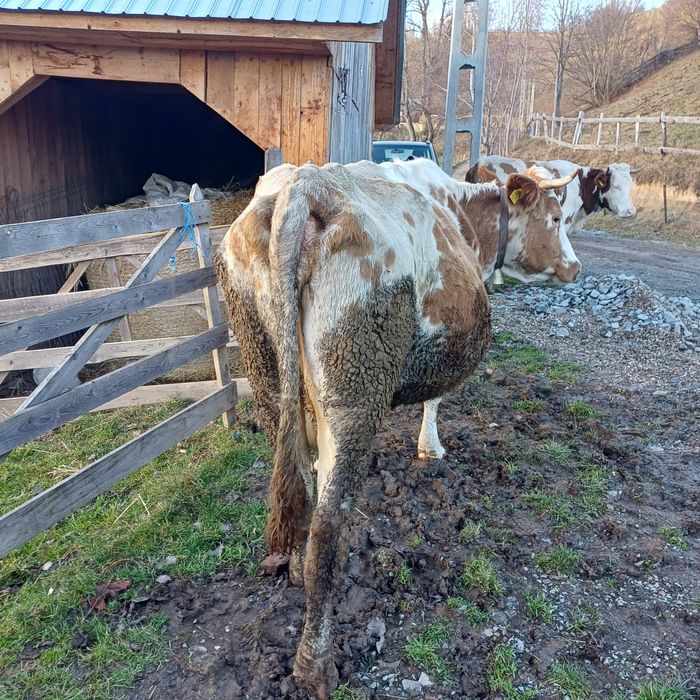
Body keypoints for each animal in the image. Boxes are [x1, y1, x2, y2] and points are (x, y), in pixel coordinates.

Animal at [215, 158, 579, 699]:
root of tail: (306, 187)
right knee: (327, 526)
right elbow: (434, 401)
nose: (576, 268)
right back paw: (315, 665)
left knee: (301, 492)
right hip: (355, 386)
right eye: (556, 218)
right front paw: (431, 448)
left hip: (267, 370)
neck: (462, 212)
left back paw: (297, 571)